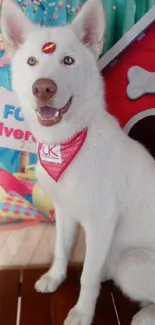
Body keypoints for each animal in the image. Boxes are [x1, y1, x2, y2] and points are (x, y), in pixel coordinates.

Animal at [1, 1, 155, 322]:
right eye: (32, 61)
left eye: (68, 60)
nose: (43, 88)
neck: (66, 145)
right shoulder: (65, 211)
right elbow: (61, 249)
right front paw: (55, 277)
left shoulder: (100, 223)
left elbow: (87, 275)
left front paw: (82, 312)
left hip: (132, 263)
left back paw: (146, 314)